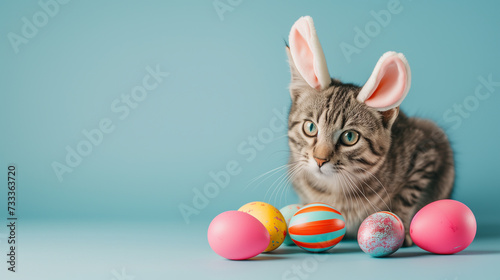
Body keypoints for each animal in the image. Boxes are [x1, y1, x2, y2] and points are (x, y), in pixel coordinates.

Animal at [286, 16, 454, 246]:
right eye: (310, 127)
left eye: (349, 137)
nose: (320, 160)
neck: (335, 191)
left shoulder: (427, 150)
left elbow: (407, 195)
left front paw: (398, 225)